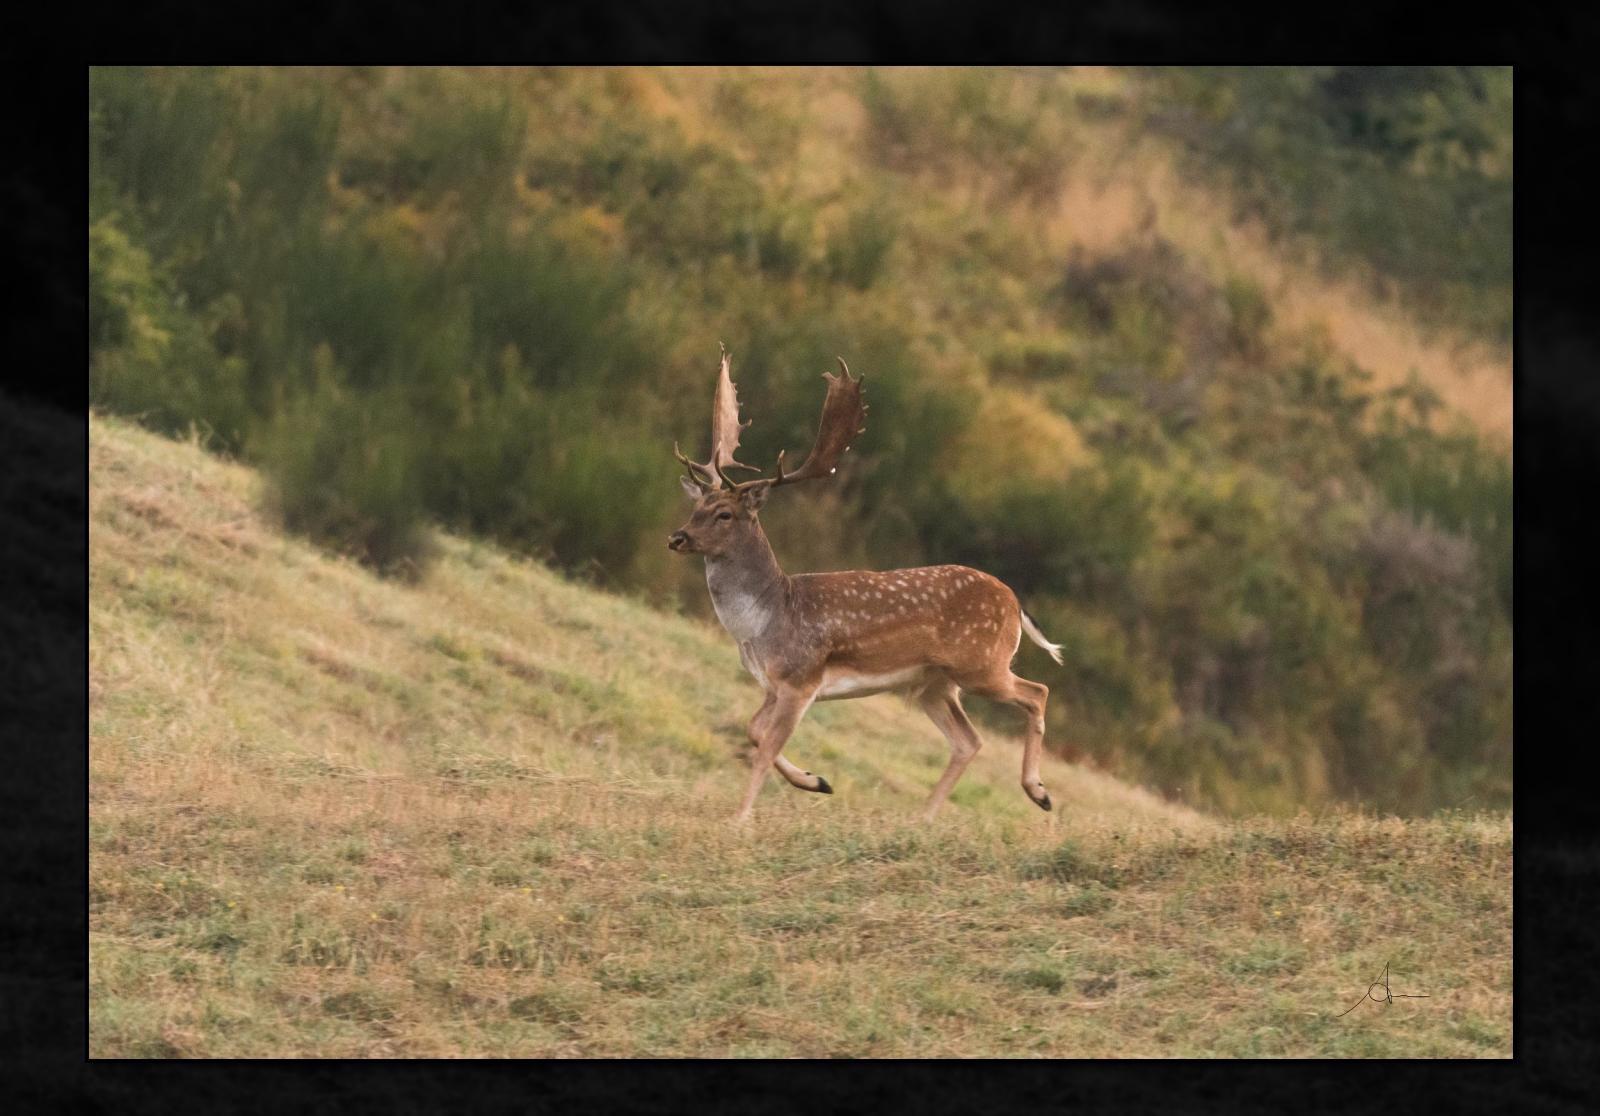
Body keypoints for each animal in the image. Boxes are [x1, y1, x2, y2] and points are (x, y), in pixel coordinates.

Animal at [668, 346, 1066, 824]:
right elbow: (754, 731)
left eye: (725, 513)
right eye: (697, 506)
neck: (765, 619)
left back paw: (1039, 792)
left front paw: (740, 818)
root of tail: (1015, 603)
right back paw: (923, 820)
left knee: (1037, 692)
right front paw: (816, 781)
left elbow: (764, 747)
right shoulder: (774, 684)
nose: (677, 537)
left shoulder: (802, 679)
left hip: (982, 664)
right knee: (969, 740)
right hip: (935, 684)